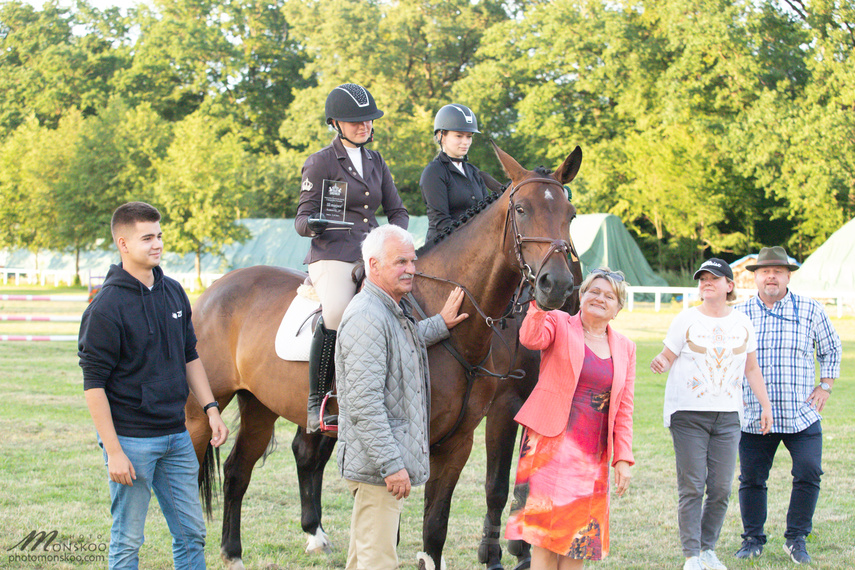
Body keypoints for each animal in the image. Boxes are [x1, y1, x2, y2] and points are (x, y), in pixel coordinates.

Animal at [186, 142, 580, 568]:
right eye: (521, 209)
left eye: (570, 214)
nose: (558, 286)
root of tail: (214, 292)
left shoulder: (458, 441)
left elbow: (436, 525)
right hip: (203, 411)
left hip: (259, 405)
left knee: (238, 471)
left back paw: (236, 552)